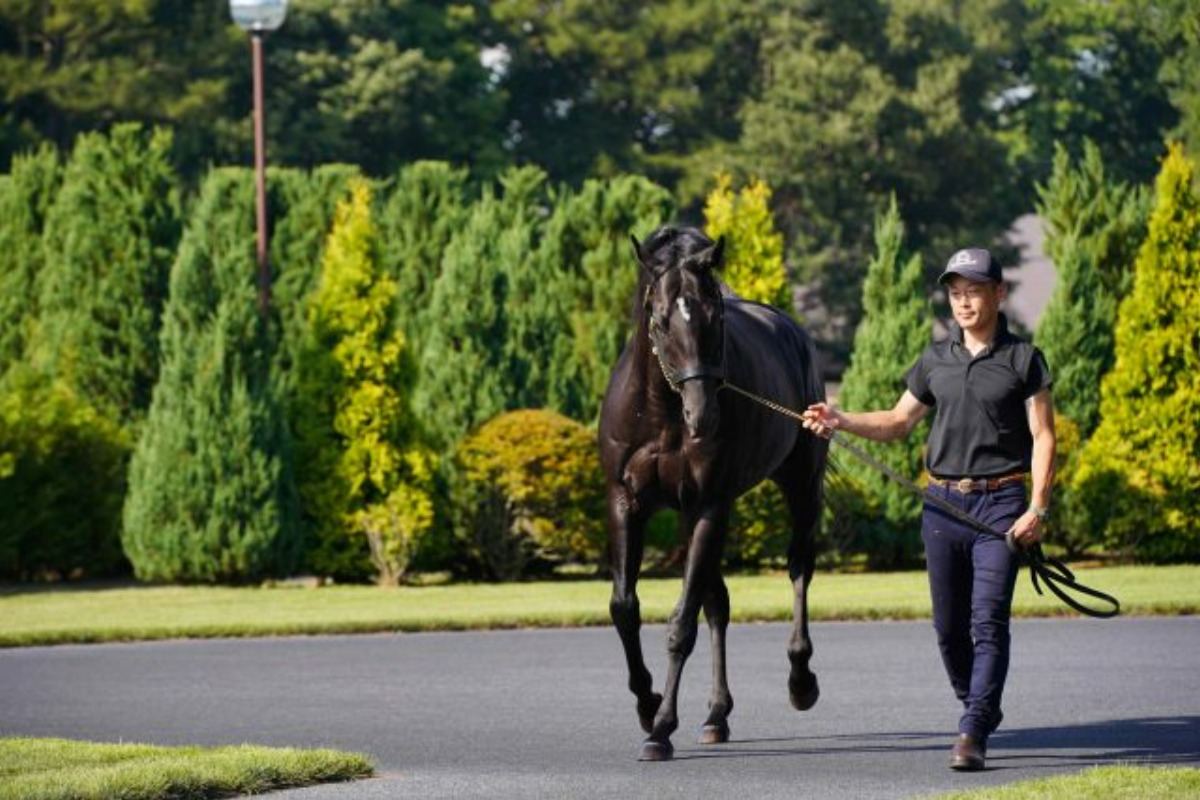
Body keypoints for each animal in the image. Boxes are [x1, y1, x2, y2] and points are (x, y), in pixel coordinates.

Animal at [597, 226, 825, 762]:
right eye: (659, 319)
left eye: (716, 316)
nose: (703, 417)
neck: (661, 413)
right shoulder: (627, 503)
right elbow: (625, 608)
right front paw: (648, 704)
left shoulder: (707, 506)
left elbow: (682, 624)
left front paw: (661, 728)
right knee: (718, 601)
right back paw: (716, 715)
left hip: (800, 486)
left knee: (798, 568)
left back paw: (800, 680)